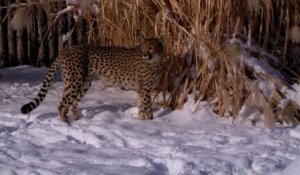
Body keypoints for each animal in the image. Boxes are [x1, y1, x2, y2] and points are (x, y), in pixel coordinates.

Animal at [20, 38, 164, 124]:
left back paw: (78, 120)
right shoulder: (145, 90)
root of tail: (66, 49)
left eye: (151, 47)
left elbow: (141, 107)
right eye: (143, 47)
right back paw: (67, 123)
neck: (155, 60)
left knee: (72, 103)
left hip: (84, 83)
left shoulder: (141, 90)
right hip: (75, 82)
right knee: (62, 105)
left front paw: (141, 123)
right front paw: (151, 123)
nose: (145, 55)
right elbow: (147, 108)